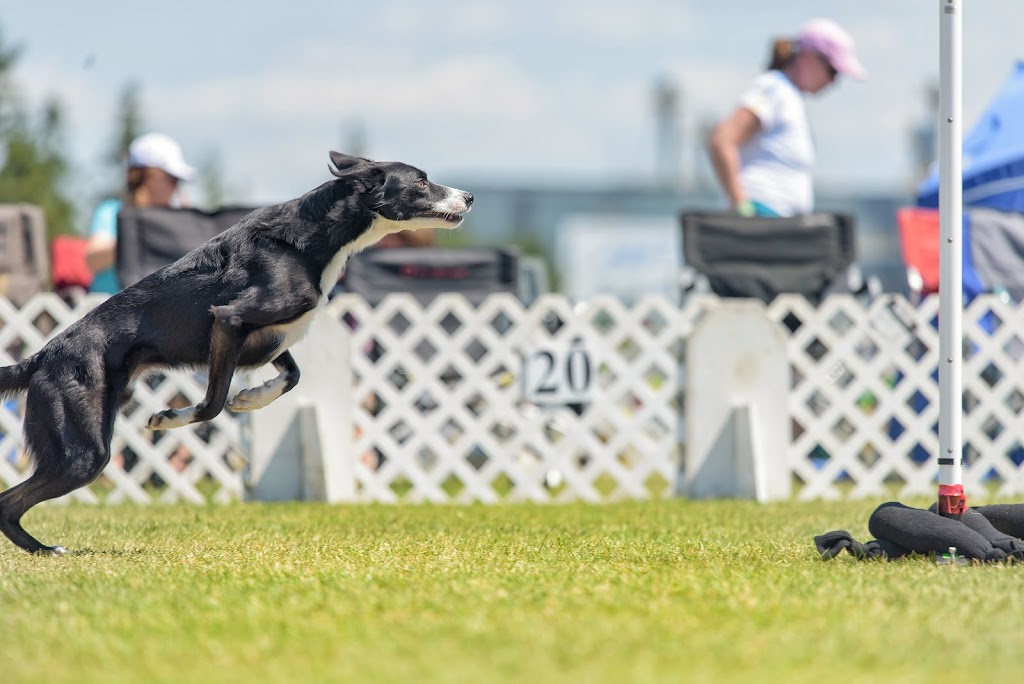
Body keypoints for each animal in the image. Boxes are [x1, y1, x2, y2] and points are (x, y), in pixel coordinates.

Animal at [0, 152, 471, 552]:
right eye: (422, 181)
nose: (468, 196)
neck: (313, 238)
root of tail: (43, 356)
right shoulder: (229, 321)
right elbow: (212, 403)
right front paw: (170, 417)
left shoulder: (268, 337)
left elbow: (290, 377)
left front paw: (250, 399)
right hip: (84, 451)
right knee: (11, 502)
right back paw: (45, 550)